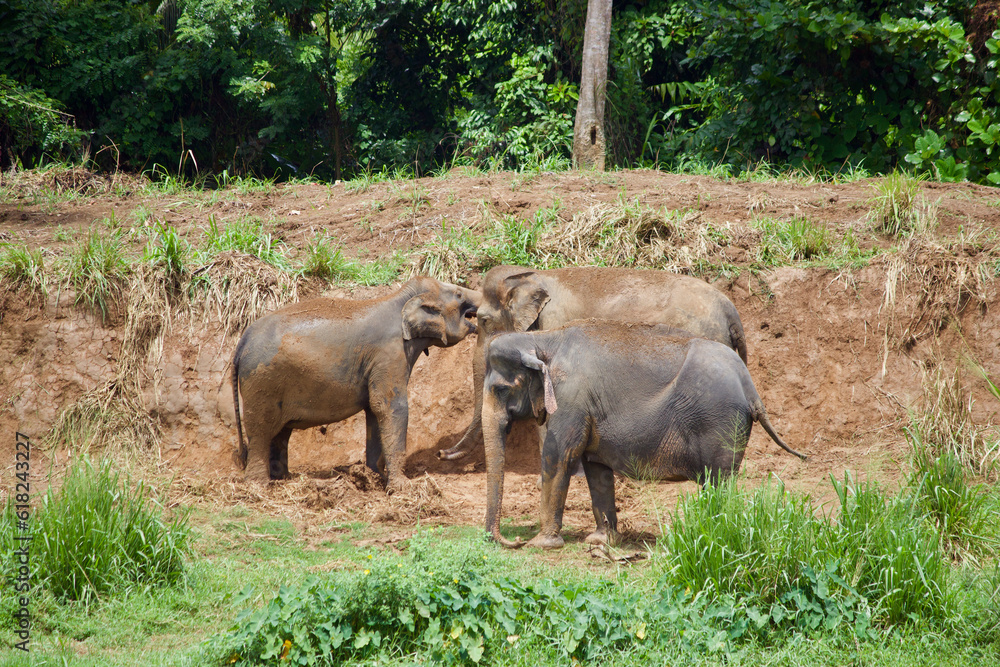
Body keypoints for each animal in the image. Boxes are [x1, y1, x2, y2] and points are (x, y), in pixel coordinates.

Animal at [231, 277, 481, 490]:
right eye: (459, 294)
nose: (439, 453)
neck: (401, 299)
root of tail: (242, 341)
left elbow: (374, 411)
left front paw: (374, 479)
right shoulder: (389, 355)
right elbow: (390, 407)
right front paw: (402, 487)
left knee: (280, 433)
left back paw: (283, 479)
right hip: (261, 381)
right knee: (261, 430)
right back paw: (259, 486)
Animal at [481, 320, 806, 549]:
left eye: (500, 389)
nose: (513, 540)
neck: (544, 338)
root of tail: (751, 387)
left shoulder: (570, 399)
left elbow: (558, 455)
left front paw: (542, 543)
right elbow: (595, 468)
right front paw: (602, 541)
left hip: (719, 422)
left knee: (718, 481)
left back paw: (712, 534)